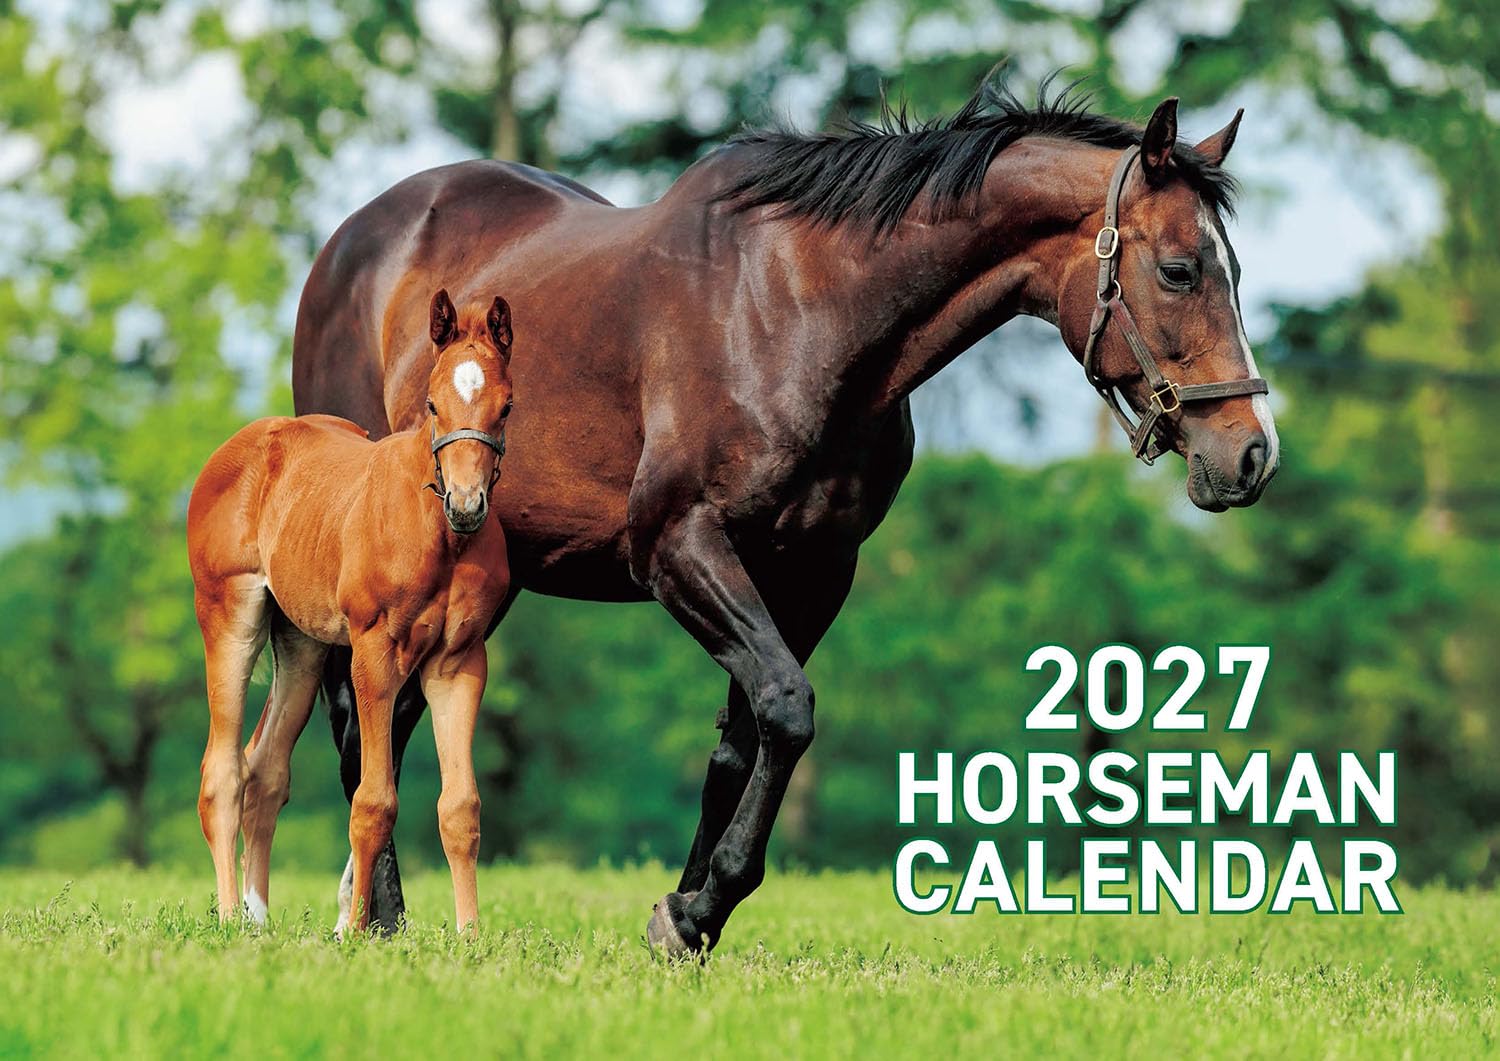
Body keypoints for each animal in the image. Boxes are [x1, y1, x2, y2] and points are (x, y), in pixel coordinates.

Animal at [189, 290, 515, 933]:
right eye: (432, 403)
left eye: (506, 407)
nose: (467, 505)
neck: (438, 535)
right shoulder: (374, 653)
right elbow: (373, 800)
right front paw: (358, 932)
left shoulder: (459, 663)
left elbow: (460, 808)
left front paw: (470, 936)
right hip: (230, 615)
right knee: (222, 774)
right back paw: (230, 918)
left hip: (303, 644)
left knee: (265, 771)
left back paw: (258, 919)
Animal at [292, 74, 1279, 952]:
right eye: (1180, 269)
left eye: (1235, 266)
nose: (1251, 454)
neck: (802, 312)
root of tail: (351, 242)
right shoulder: (678, 545)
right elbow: (788, 707)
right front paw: (699, 906)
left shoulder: (810, 568)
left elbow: (746, 738)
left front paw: (686, 915)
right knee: (358, 718)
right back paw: (382, 916)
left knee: (394, 717)